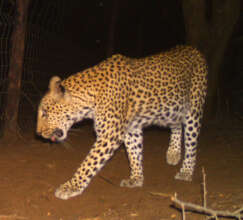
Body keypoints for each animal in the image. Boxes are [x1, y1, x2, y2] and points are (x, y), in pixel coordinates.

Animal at [36, 44, 207, 199]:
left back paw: (186, 172)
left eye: (44, 113)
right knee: (176, 125)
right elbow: (134, 153)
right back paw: (173, 154)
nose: (38, 133)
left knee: (191, 144)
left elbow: (88, 163)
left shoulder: (109, 135)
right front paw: (136, 179)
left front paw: (71, 187)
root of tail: (193, 49)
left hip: (193, 110)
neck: (89, 98)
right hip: (172, 110)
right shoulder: (132, 129)